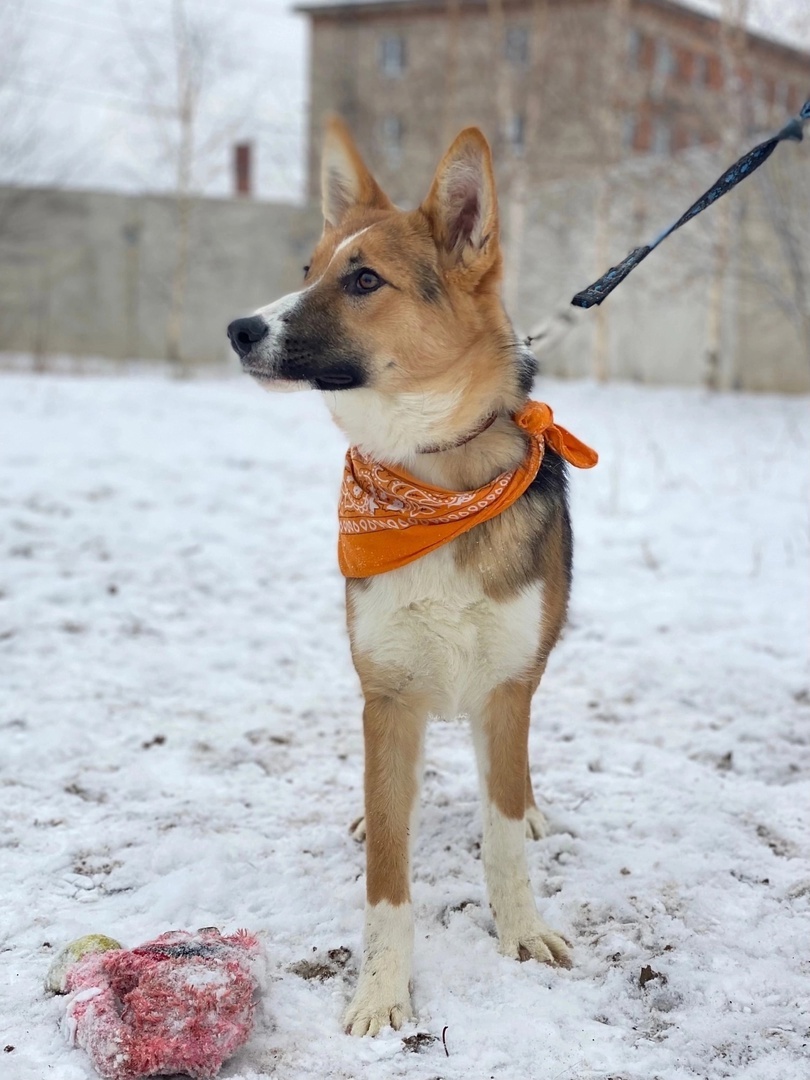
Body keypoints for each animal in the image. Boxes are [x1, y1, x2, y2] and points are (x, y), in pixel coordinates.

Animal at [228, 118, 596, 1036]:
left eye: (365, 280)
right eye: (309, 271)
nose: (240, 329)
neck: (432, 481)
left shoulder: (506, 686)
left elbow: (502, 831)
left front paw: (521, 929)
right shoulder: (389, 694)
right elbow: (388, 877)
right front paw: (382, 992)